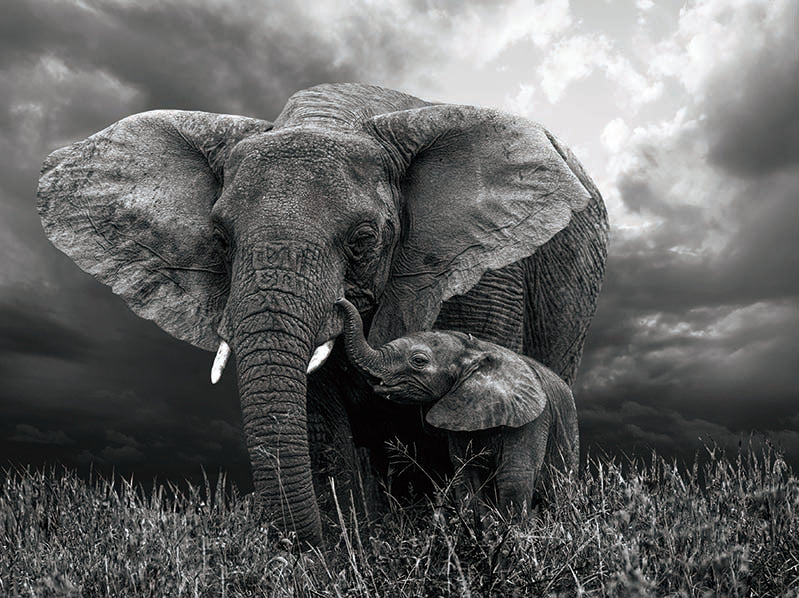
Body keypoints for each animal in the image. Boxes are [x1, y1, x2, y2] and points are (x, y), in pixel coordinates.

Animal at [336, 297, 578, 515]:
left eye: (418, 361)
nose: (339, 301)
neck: (475, 350)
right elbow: (467, 477)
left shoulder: (532, 420)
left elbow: (514, 477)